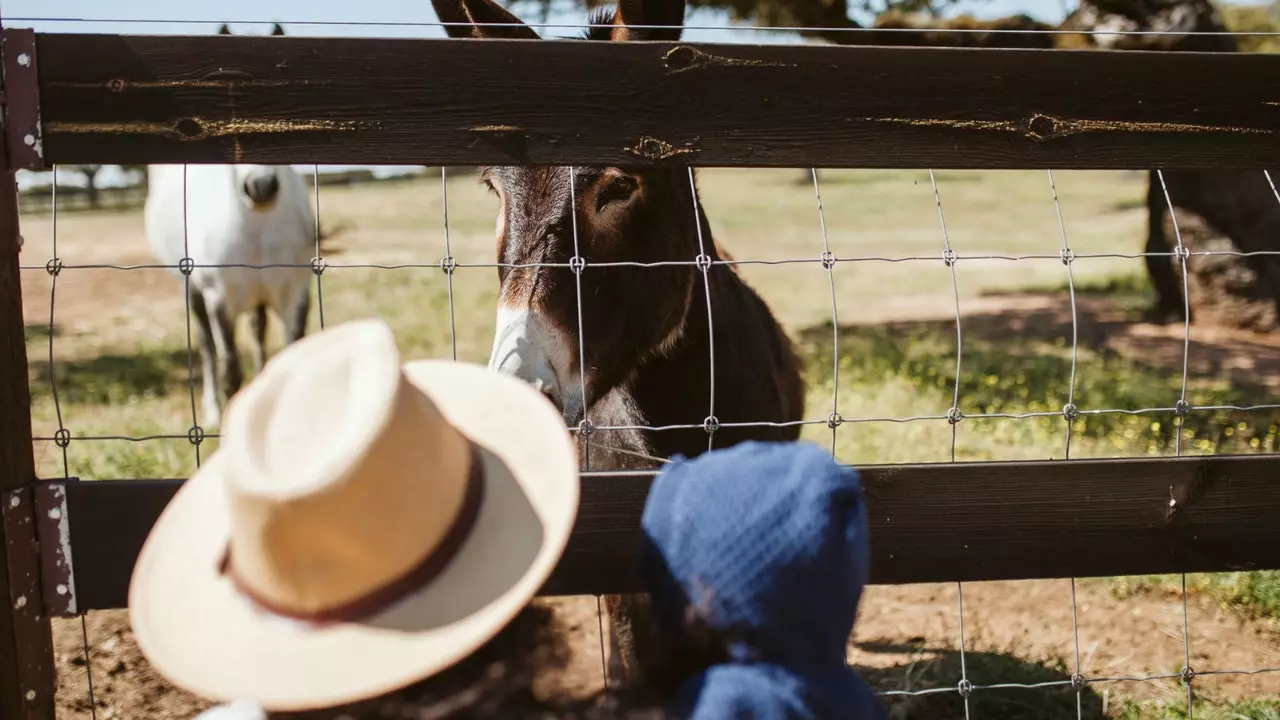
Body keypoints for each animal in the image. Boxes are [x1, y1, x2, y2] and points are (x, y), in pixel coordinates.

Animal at [144, 163, 313, 425]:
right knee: (206, 344)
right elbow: (230, 372)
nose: (261, 187)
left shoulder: (296, 296)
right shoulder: (219, 301)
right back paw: (212, 412)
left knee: (257, 329)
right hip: (193, 292)